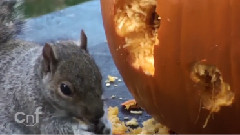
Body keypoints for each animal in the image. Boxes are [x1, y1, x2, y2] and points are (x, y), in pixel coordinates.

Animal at [0, 0, 110, 134]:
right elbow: (54, 128)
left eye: (99, 77)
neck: (37, 82)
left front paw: (105, 124)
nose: (98, 115)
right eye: (65, 89)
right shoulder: (33, 108)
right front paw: (81, 129)